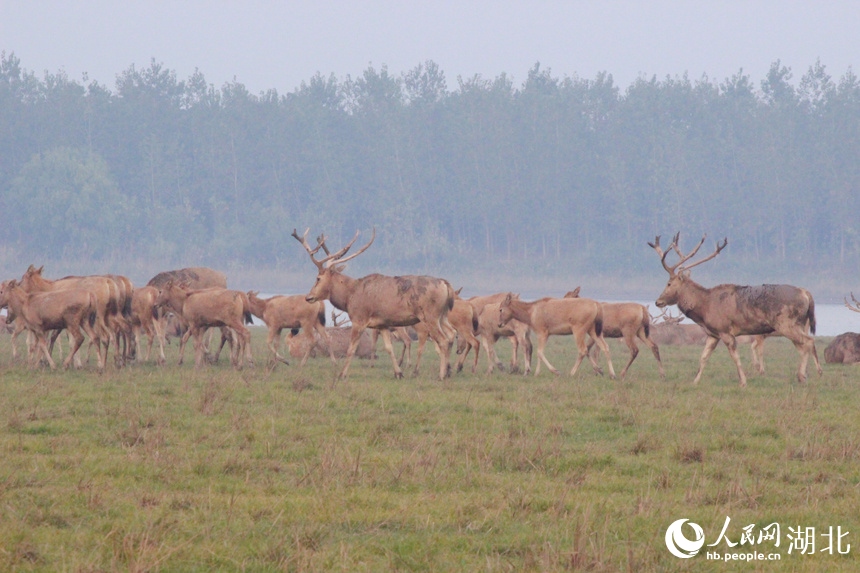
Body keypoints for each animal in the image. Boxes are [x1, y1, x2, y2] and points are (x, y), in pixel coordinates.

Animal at [292, 228, 456, 380]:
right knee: (451, 335)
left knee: (443, 340)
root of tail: (445, 285)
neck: (348, 297)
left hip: (430, 316)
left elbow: (351, 349)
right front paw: (398, 373)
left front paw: (342, 374)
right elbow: (389, 348)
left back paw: (442, 375)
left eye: (318, 278)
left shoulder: (359, 319)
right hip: (442, 316)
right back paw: (448, 371)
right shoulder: (382, 324)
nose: (308, 297)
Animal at [648, 231, 824, 384]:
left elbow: (735, 357)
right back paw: (803, 375)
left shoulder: (725, 330)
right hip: (798, 324)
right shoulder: (713, 334)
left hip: (787, 324)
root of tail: (806, 293)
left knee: (808, 341)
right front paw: (695, 381)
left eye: (668, 283)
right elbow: (703, 357)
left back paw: (804, 375)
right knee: (803, 345)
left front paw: (743, 381)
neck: (704, 309)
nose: (658, 301)